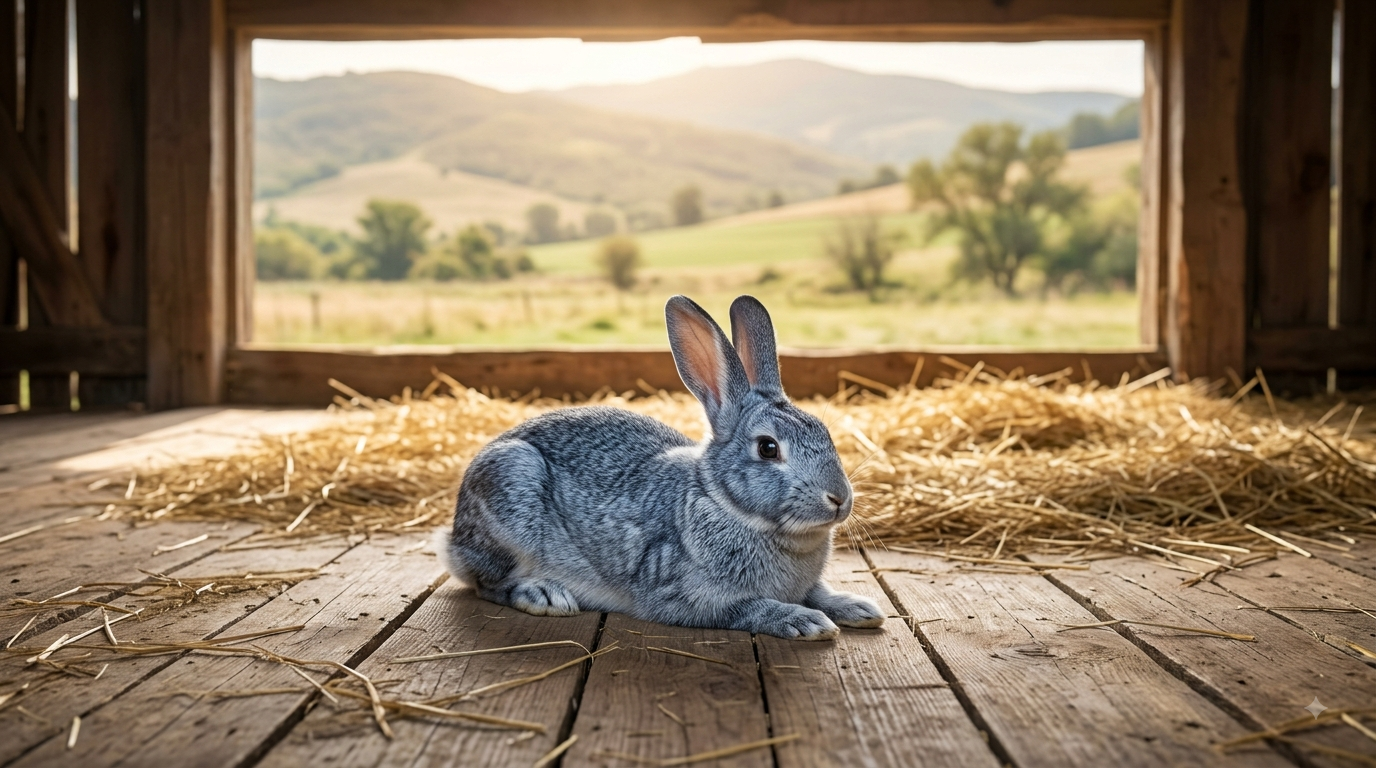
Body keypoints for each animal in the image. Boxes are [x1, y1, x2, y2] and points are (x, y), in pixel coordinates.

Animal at [434, 294, 884, 640]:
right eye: (768, 448)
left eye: (824, 431)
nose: (840, 499)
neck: (726, 505)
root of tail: (453, 539)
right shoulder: (684, 597)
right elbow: (747, 609)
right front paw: (804, 621)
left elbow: (820, 592)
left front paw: (859, 608)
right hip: (513, 486)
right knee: (488, 583)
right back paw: (544, 595)